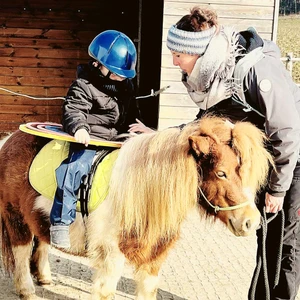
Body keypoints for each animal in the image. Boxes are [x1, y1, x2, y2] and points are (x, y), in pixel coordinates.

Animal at [0, 116, 272, 298]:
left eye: (242, 170)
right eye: (221, 173)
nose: (251, 221)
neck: (142, 195)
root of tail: (9, 139)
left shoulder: (153, 261)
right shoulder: (111, 258)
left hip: (37, 218)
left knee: (42, 241)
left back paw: (44, 278)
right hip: (15, 218)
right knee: (21, 252)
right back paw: (27, 290)